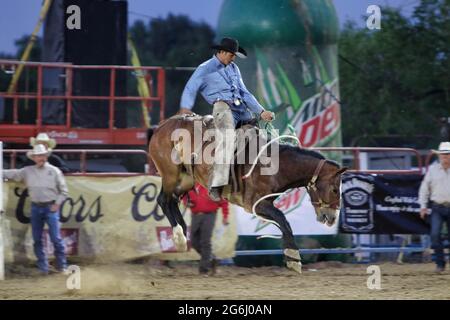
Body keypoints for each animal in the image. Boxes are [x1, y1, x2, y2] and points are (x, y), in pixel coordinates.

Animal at [149, 114, 346, 274]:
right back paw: (179, 237)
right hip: (171, 174)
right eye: (335, 189)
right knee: (164, 200)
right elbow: (284, 220)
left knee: (171, 201)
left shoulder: (262, 205)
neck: (276, 165)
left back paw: (183, 234)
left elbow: (282, 223)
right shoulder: (257, 204)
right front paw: (294, 259)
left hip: (186, 179)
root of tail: (161, 127)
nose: (332, 218)